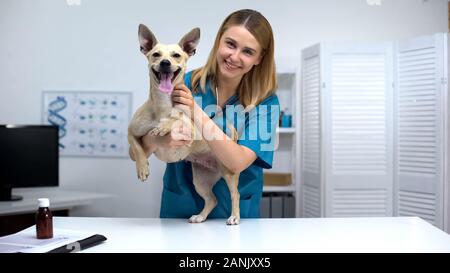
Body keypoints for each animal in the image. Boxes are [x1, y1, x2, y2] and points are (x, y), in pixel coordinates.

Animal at [129, 23, 243, 223]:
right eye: (156, 54)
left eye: (176, 55)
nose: (165, 63)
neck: (162, 104)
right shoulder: (131, 132)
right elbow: (137, 148)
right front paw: (142, 168)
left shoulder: (191, 127)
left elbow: (178, 119)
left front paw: (165, 125)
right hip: (201, 180)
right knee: (212, 199)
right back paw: (200, 217)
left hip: (229, 171)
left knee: (235, 194)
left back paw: (234, 217)